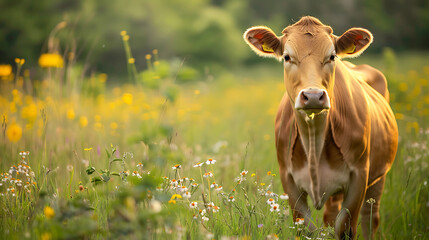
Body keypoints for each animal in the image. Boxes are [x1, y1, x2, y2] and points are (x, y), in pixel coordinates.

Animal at [242, 15, 396, 239]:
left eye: (332, 56)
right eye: (287, 57)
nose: (313, 95)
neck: (314, 139)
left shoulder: (360, 176)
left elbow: (345, 227)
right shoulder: (288, 179)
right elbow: (306, 228)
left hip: (378, 177)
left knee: (370, 218)